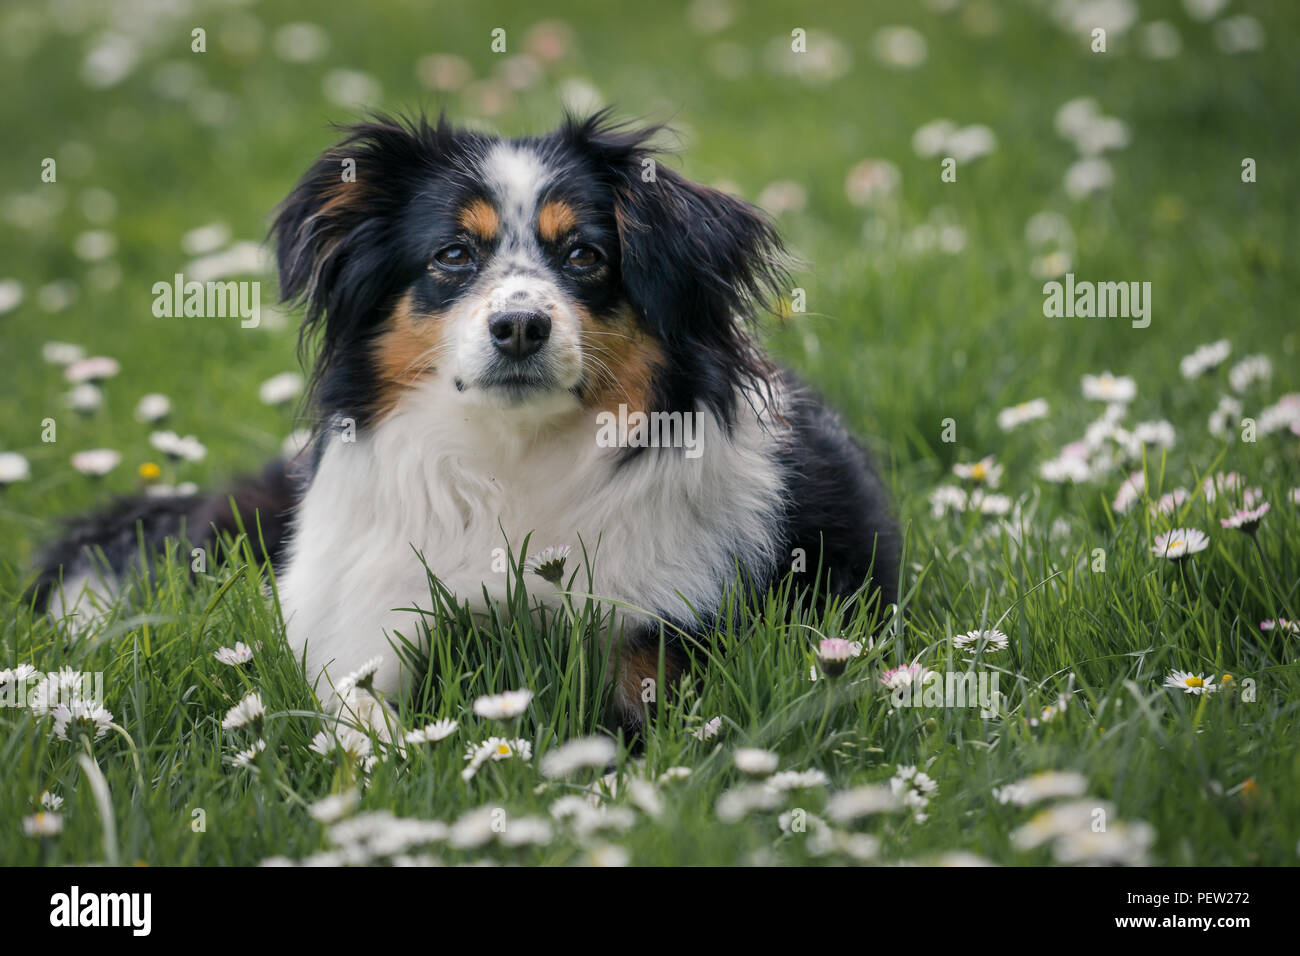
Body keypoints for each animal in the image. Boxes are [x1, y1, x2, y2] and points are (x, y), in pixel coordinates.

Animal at [32, 110, 904, 738]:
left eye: (585, 256)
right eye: (453, 254)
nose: (519, 326)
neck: (510, 460)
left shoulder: (664, 638)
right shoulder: (359, 628)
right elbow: (361, 719)